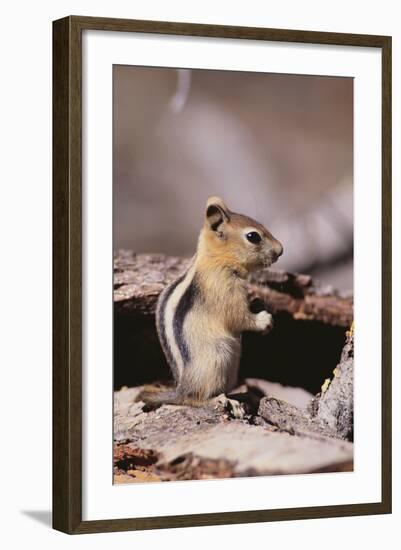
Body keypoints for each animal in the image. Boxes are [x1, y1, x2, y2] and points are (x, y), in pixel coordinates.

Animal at [140, 197, 282, 410]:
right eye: (253, 237)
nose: (281, 250)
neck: (216, 261)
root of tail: (181, 389)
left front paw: (258, 301)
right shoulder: (224, 292)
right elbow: (238, 317)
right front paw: (264, 320)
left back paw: (245, 396)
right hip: (217, 359)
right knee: (195, 398)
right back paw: (221, 400)